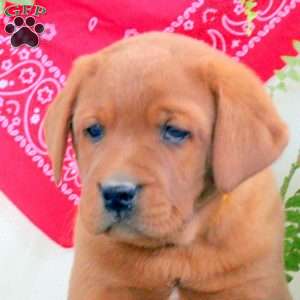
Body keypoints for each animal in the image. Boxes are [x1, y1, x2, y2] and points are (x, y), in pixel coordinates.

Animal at [44, 32, 290, 300]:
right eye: (94, 130)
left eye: (175, 131)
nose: (116, 193)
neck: (175, 252)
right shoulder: (100, 284)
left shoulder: (249, 283)